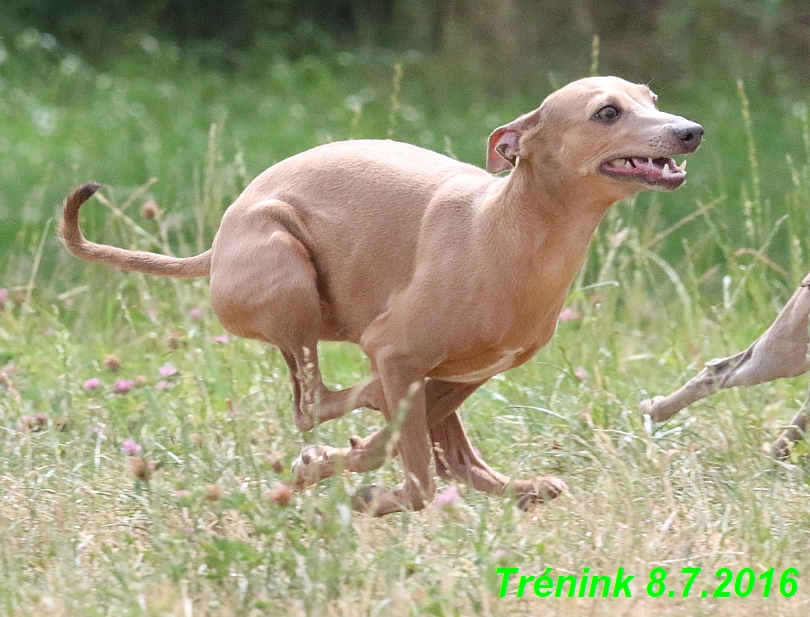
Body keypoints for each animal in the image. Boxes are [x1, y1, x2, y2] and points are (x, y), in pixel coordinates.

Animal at [61, 74, 700, 512]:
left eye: (652, 98)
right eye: (607, 112)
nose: (690, 131)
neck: (504, 228)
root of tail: (216, 248)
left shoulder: (468, 371)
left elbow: (423, 453)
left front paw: (350, 467)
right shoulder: (398, 351)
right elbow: (416, 479)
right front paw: (363, 484)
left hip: (443, 370)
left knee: (439, 447)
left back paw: (510, 484)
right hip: (291, 274)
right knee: (314, 405)